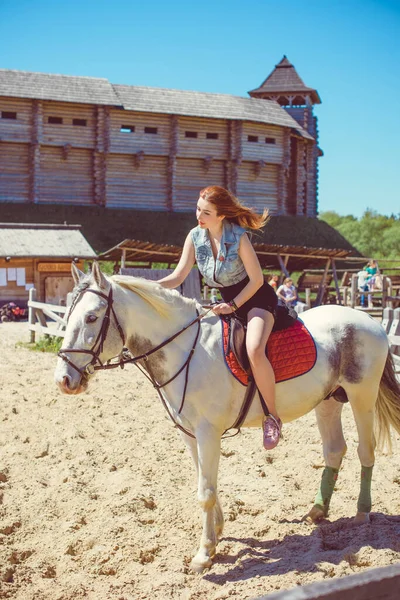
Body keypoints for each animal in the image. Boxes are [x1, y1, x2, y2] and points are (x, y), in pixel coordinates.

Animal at [54, 264, 400, 576]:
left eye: (91, 317)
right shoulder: (189, 433)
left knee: (365, 451)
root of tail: (369, 321)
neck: (185, 350)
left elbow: (205, 492)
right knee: (334, 451)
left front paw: (204, 554)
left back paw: (362, 513)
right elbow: (205, 483)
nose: (64, 380)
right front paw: (217, 533)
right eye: (67, 317)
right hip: (328, 401)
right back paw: (318, 510)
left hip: (362, 396)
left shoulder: (208, 432)